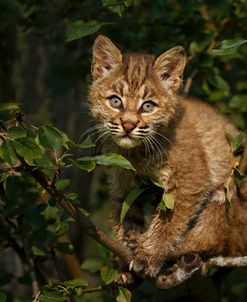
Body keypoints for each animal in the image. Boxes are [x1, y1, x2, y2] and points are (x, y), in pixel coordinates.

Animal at [89, 34, 247, 276]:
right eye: (115, 101)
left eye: (148, 106)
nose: (128, 125)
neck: (136, 151)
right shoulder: (122, 181)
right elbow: (126, 216)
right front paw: (128, 251)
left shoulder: (191, 179)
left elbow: (169, 222)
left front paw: (149, 254)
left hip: (231, 187)